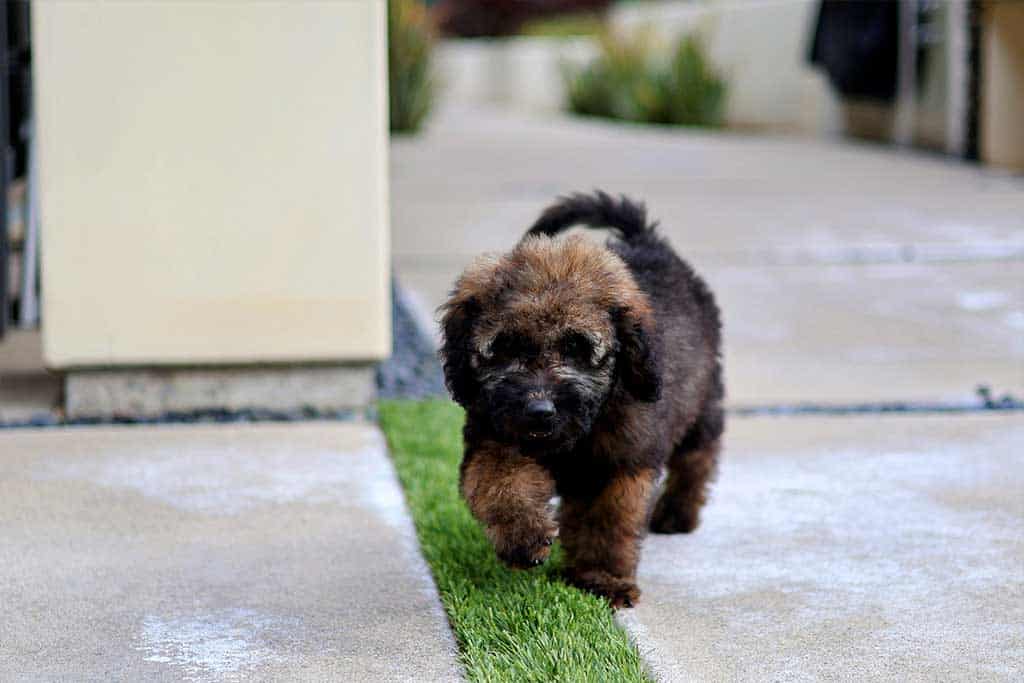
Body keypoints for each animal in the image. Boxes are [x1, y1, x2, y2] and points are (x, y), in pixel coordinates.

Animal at [438, 192, 720, 610]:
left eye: (577, 347)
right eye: (505, 348)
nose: (539, 412)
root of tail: (647, 241)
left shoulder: (623, 461)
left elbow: (609, 521)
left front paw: (603, 579)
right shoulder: (493, 433)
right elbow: (499, 481)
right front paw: (524, 537)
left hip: (703, 401)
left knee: (698, 458)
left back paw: (676, 514)